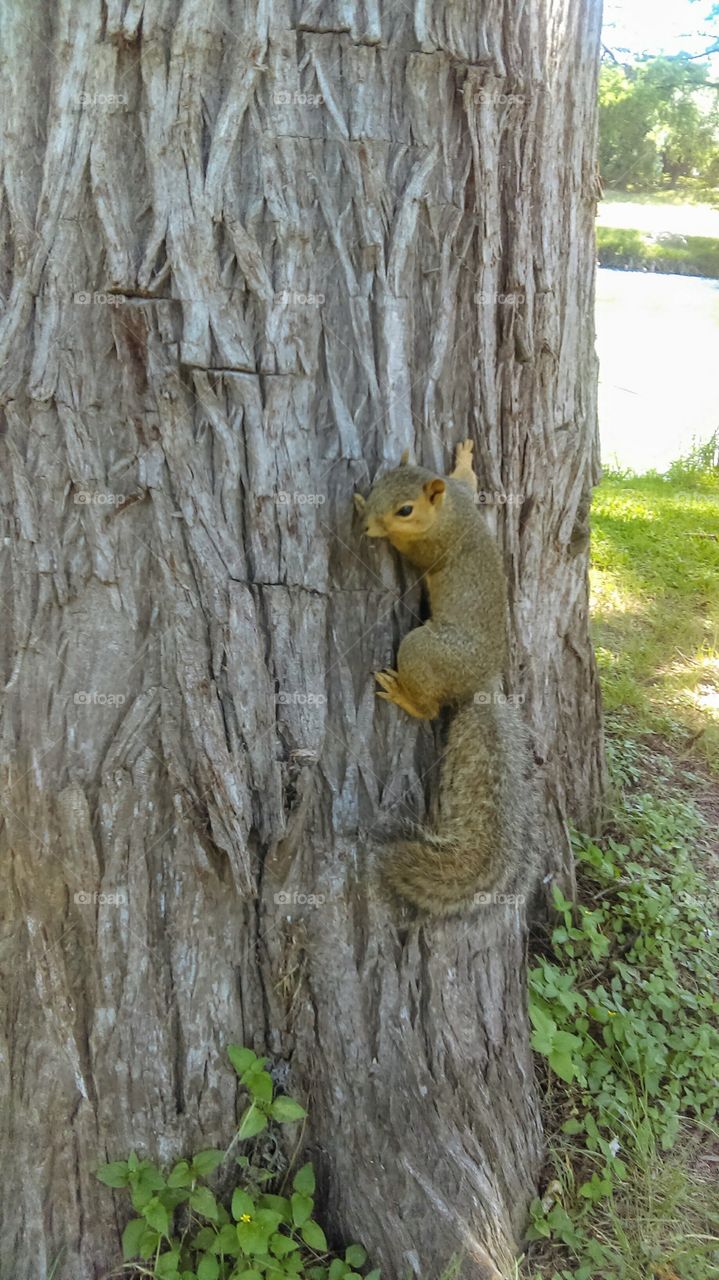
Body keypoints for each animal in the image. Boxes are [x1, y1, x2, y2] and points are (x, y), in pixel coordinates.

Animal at [354, 440, 535, 916]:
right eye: (378, 482)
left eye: (404, 510)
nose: (366, 524)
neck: (450, 510)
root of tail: (482, 685)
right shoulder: (463, 492)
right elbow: (469, 479)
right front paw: (466, 458)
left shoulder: (435, 546)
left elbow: (415, 554)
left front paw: (381, 531)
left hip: (425, 650)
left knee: (430, 707)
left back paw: (402, 693)